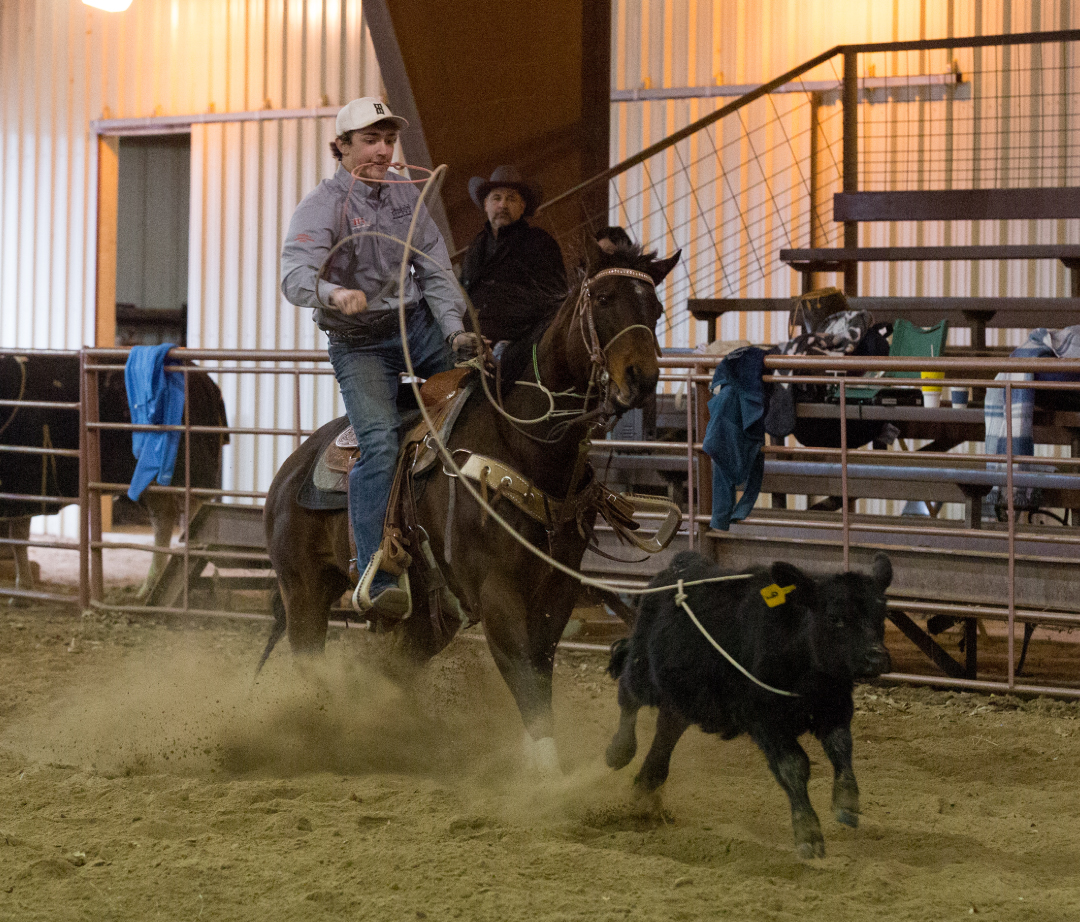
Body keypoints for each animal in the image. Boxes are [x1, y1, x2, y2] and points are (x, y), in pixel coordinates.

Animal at [0, 349, 227, 604]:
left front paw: (21, 592)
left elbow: (18, 537)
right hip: (150, 480)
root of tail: (208, 383)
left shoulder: (25, 483)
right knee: (163, 518)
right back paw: (150, 588)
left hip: (192, 471)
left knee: (193, 518)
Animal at [262, 241, 678, 777]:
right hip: (304, 592)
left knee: (387, 669)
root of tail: (289, 470)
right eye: (604, 299)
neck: (523, 444)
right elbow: (522, 675)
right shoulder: (495, 590)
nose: (642, 378)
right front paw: (552, 780)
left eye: (656, 309)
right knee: (310, 660)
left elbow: (539, 674)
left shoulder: (557, 590)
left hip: (426, 618)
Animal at [609, 548, 894, 859]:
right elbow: (793, 765)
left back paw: (645, 787)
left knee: (667, 730)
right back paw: (619, 752)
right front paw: (808, 833)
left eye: (881, 615)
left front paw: (846, 803)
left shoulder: (835, 706)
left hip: (685, 696)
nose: (877, 658)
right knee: (628, 695)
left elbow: (842, 747)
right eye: (835, 617)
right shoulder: (763, 718)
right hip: (643, 669)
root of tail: (678, 566)